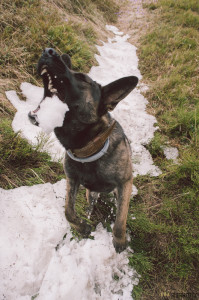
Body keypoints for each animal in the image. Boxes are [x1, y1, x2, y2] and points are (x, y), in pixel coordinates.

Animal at [29, 48, 138, 252]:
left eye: (82, 79)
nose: (49, 51)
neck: (90, 150)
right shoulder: (72, 180)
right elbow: (68, 211)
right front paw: (81, 227)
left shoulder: (125, 183)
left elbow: (120, 220)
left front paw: (119, 241)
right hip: (90, 193)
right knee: (90, 201)